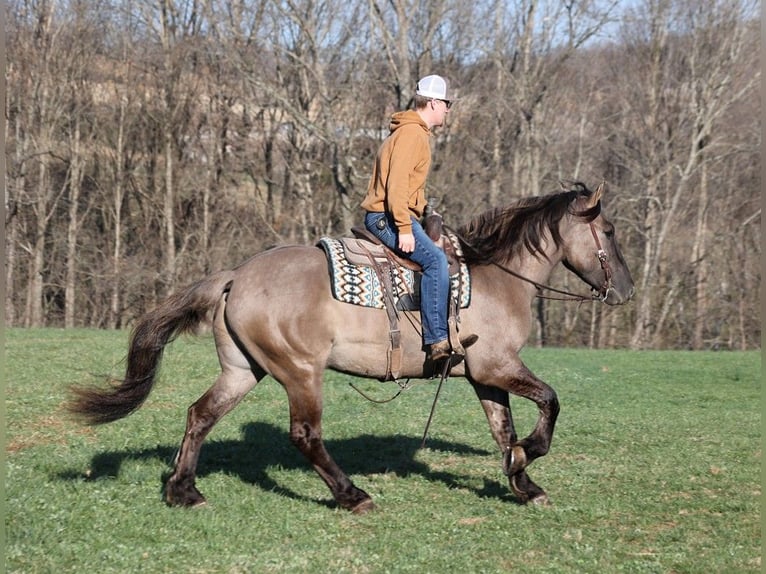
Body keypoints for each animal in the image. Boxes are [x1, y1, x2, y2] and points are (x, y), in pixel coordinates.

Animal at [70, 181, 636, 512]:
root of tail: (236, 274)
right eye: (608, 230)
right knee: (305, 436)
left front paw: (522, 480)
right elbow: (549, 401)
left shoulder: (483, 374)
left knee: (200, 415)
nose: (627, 291)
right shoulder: (498, 366)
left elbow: (504, 428)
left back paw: (183, 490)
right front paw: (529, 458)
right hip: (301, 372)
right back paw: (351, 494)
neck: (498, 276)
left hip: (243, 370)